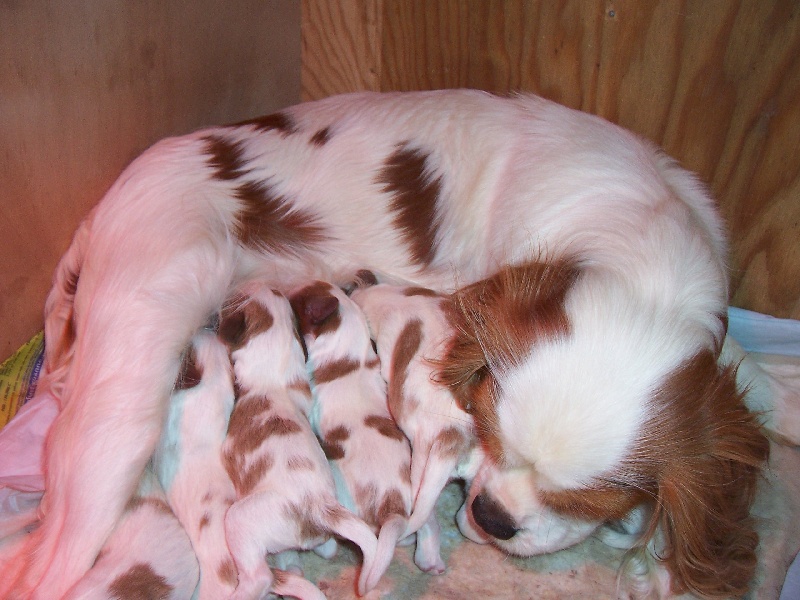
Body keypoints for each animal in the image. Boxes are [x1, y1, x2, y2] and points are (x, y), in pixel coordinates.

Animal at [220, 284, 380, 596]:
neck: (273, 376)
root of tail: (323, 509)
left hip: (239, 518)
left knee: (260, 577)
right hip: (320, 535)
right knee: (328, 548)